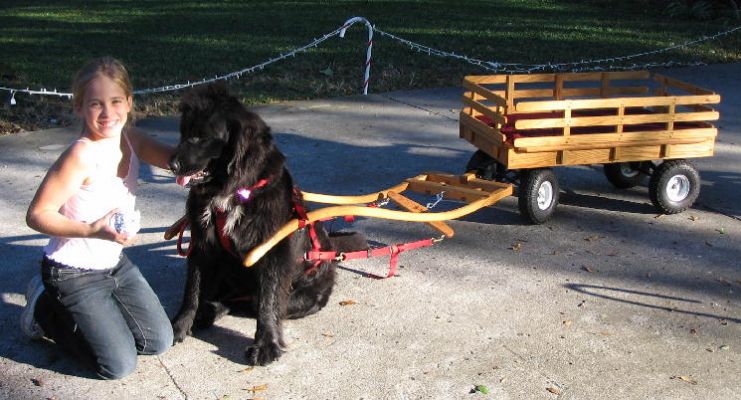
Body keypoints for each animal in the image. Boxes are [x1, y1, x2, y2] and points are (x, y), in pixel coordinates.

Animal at [168, 84, 364, 366]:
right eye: (183, 134)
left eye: (202, 137)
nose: (171, 164)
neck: (231, 190)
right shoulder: (202, 242)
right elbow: (192, 290)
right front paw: (178, 325)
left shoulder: (271, 251)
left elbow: (268, 302)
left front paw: (266, 344)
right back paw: (207, 312)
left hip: (303, 295)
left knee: (254, 302)